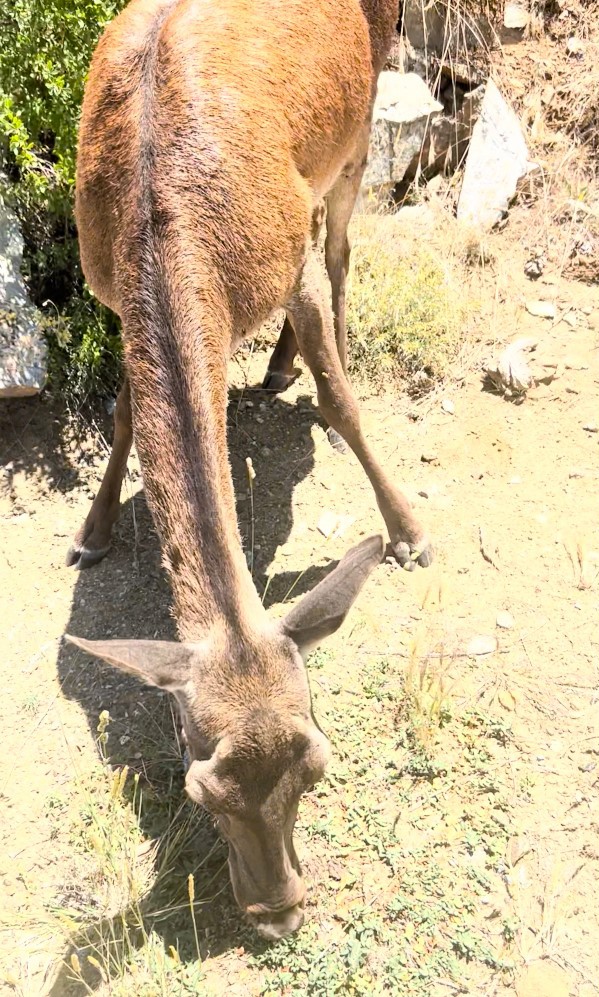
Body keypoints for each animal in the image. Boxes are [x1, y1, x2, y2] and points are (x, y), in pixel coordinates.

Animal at [64, 0, 432, 936]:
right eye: (201, 788)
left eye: (319, 764)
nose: (278, 911)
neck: (159, 217)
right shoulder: (107, 287)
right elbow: (123, 411)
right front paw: (93, 529)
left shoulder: (285, 254)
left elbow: (340, 395)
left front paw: (408, 531)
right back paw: (272, 365)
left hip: (359, 121)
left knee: (343, 247)